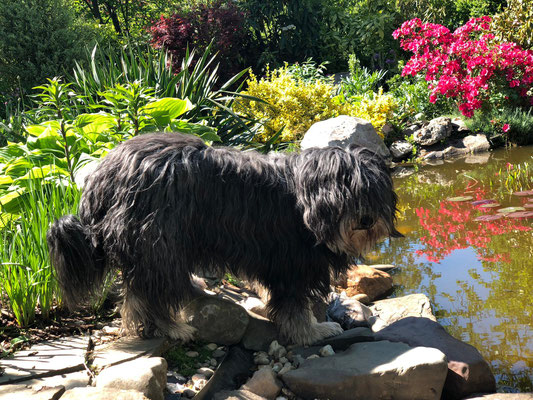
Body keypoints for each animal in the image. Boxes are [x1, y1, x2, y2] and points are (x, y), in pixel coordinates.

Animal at [47, 133, 400, 346]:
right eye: (346, 192)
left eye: (373, 191)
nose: (366, 220)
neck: (304, 199)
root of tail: (102, 175)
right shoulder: (290, 262)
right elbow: (294, 307)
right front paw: (313, 331)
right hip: (158, 240)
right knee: (150, 292)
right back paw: (174, 327)